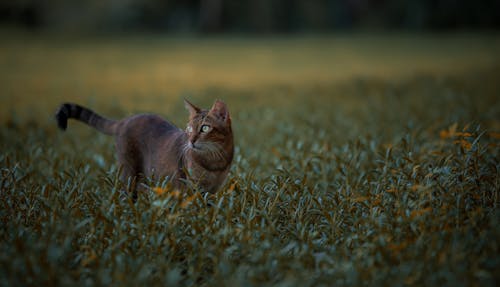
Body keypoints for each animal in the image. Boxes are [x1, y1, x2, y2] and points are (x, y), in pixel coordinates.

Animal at [55, 99, 233, 200]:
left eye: (205, 128)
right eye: (189, 129)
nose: (190, 140)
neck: (214, 161)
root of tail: (126, 120)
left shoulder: (212, 190)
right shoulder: (191, 187)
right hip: (129, 173)